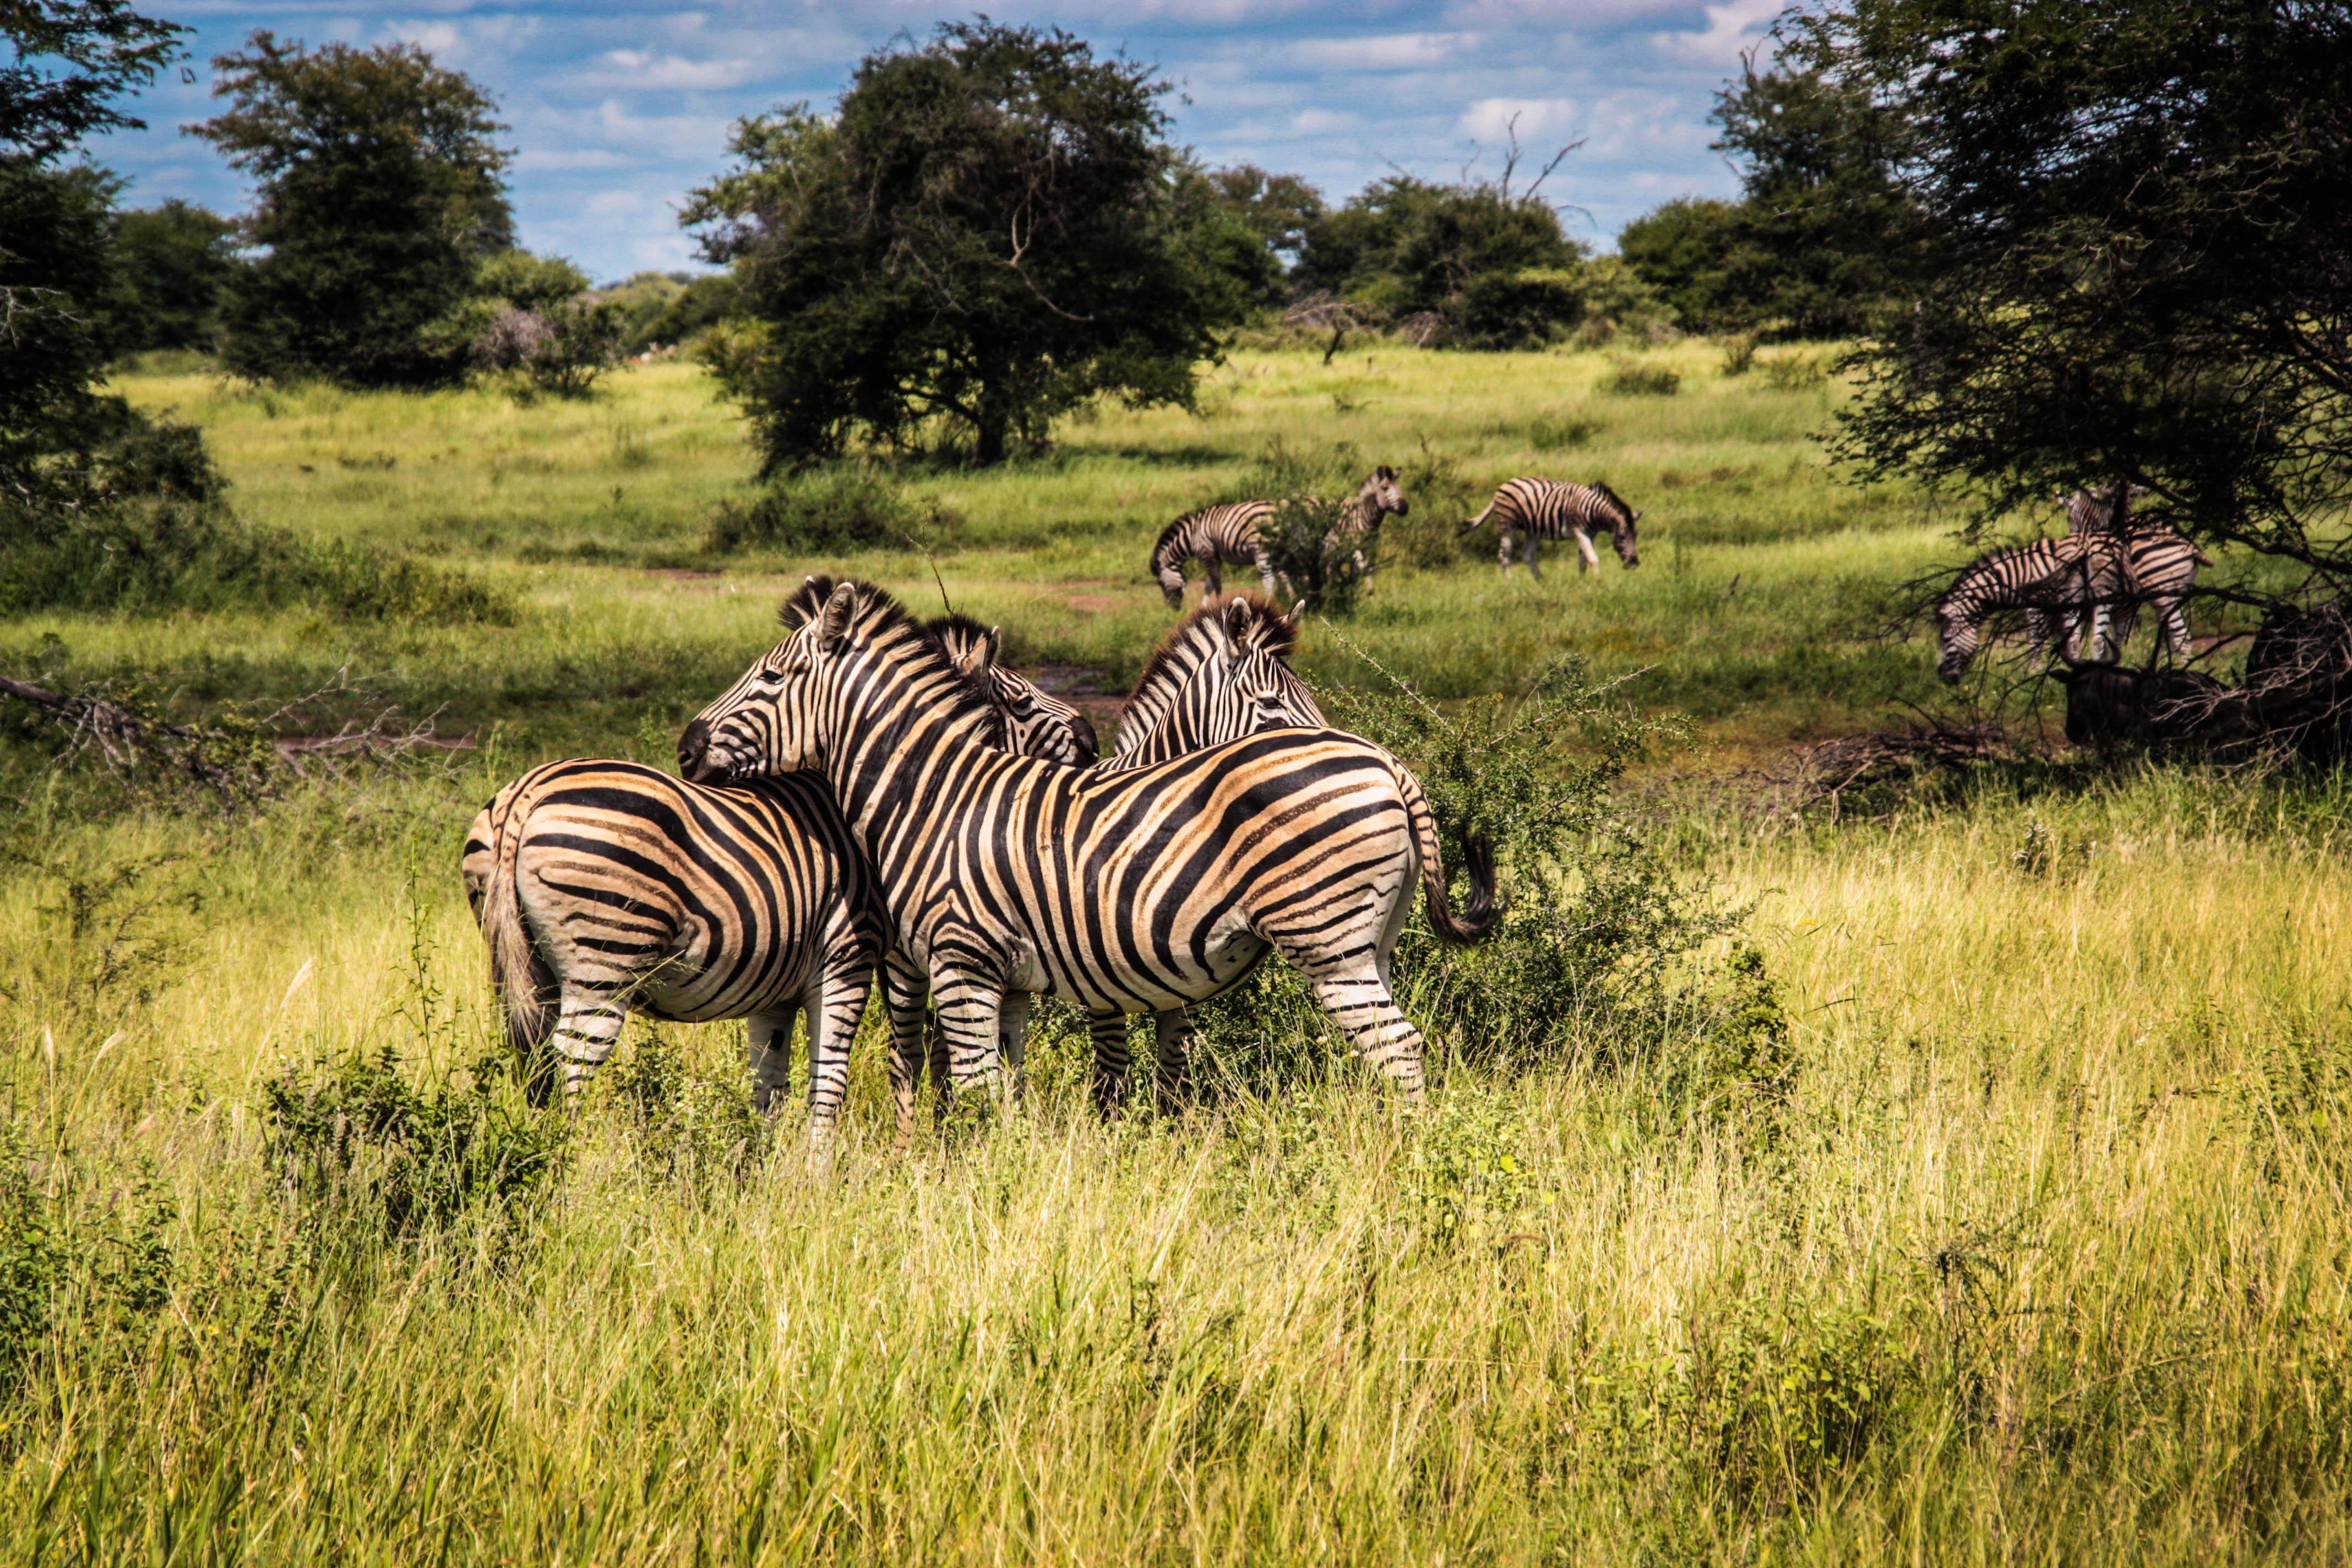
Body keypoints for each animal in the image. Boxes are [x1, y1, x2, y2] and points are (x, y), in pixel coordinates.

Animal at [461, 760, 880, 1132]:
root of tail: (525, 796)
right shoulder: (847, 960)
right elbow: (830, 1082)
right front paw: (817, 1165)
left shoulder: (777, 987)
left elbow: (769, 1086)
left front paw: (766, 1164)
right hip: (606, 953)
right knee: (573, 1058)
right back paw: (570, 1154)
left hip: (527, 963)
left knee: (537, 1056)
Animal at [678, 576, 1497, 1110]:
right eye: (1271, 702)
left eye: (773, 676)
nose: (685, 748)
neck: (933, 791)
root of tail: (1387, 762)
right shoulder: (1014, 977)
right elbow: (1012, 1091)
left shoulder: (966, 961)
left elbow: (989, 1093)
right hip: (1368, 943)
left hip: (1327, 942)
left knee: (1399, 1049)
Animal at [1151, 467, 1410, 607]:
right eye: (1386, 489)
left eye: (1161, 584)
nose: (1173, 608)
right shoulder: (1213, 554)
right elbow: (1209, 584)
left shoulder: (1207, 552)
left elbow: (1215, 584)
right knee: (1282, 576)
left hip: (1264, 550)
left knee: (1272, 579)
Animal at [1462, 478, 1641, 577]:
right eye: (1622, 537)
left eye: (1636, 536)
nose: (1634, 563)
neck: (1594, 511)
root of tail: (1505, 485)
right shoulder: (1579, 530)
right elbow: (1592, 558)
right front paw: (1599, 582)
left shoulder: (1590, 534)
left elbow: (1583, 561)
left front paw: (1583, 582)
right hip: (1508, 524)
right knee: (1504, 555)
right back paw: (1510, 584)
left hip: (1533, 530)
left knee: (1528, 555)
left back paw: (1542, 583)